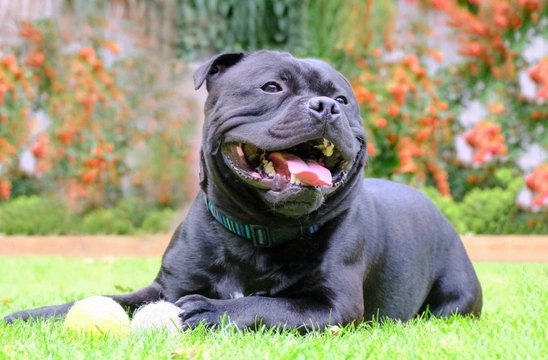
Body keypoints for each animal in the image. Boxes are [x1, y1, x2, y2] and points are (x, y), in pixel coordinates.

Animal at [3, 50, 480, 330]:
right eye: (272, 86)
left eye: (343, 101)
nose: (326, 107)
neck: (256, 231)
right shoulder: (163, 289)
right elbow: (102, 300)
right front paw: (30, 315)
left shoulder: (330, 304)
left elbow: (266, 305)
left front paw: (213, 310)